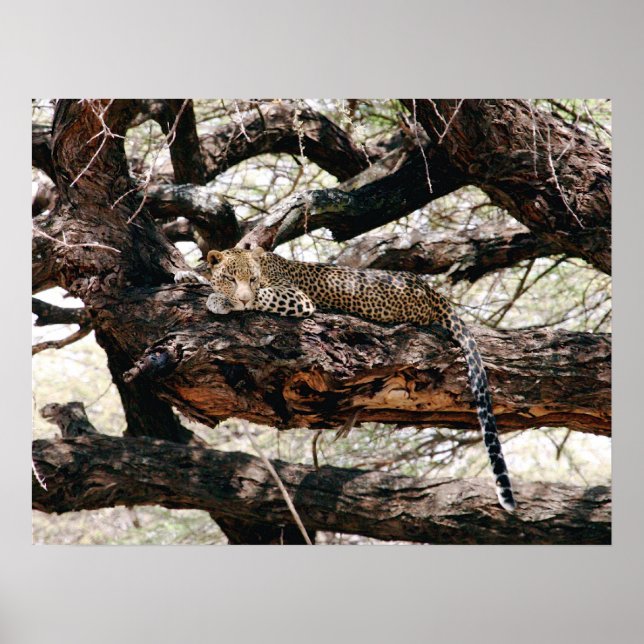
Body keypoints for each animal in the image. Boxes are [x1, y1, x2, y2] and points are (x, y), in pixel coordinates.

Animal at [177, 246, 516, 512]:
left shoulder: (294, 297)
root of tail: (430, 289)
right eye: (231, 278)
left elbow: (261, 295)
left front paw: (221, 300)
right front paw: (190, 277)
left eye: (253, 279)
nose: (243, 298)